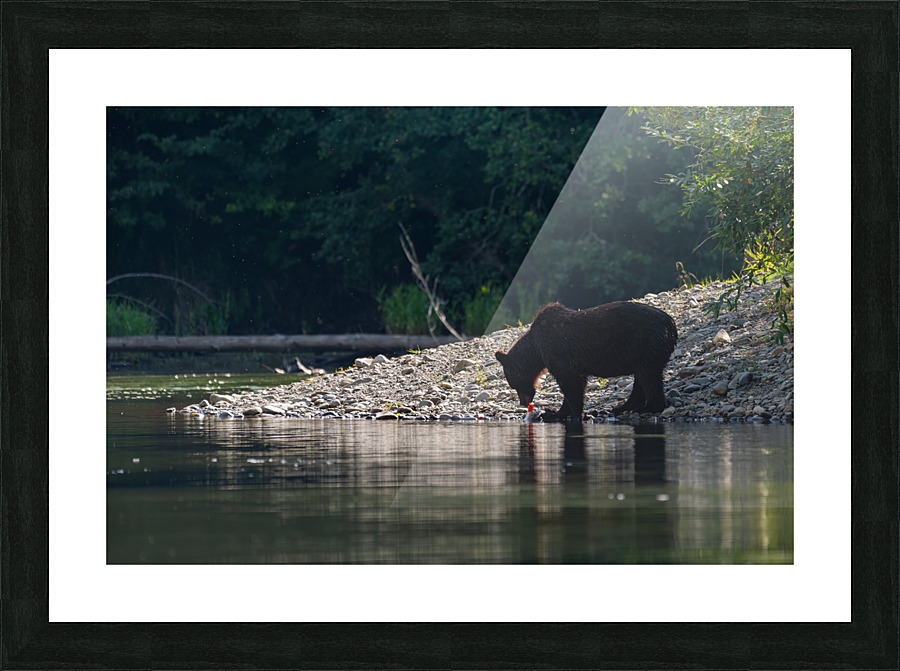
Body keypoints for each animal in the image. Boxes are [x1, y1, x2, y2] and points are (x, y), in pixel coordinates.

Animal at [495, 301, 677, 420]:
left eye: (513, 383)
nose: (523, 402)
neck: (535, 349)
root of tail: (671, 324)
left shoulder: (556, 351)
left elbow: (570, 382)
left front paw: (571, 414)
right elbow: (577, 383)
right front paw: (557, 412)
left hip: (645, 344)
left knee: (648, 377)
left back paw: (648, 408)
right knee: (642, 379)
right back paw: (623, 407)